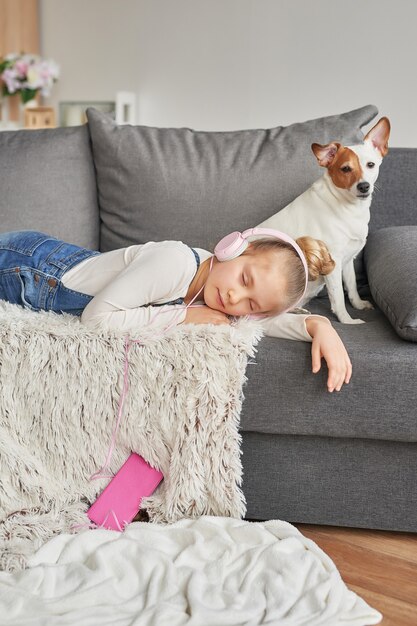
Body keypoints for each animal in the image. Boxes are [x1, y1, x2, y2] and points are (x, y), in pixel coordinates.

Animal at [256, 116, 390, 322]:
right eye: (345, 169)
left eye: (371, 165)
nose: (364, 186)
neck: (347, 207)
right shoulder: (333, 262)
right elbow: (339, 297)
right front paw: (348, 321)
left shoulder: (348, 260)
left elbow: (351, 286)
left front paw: (358, 305)